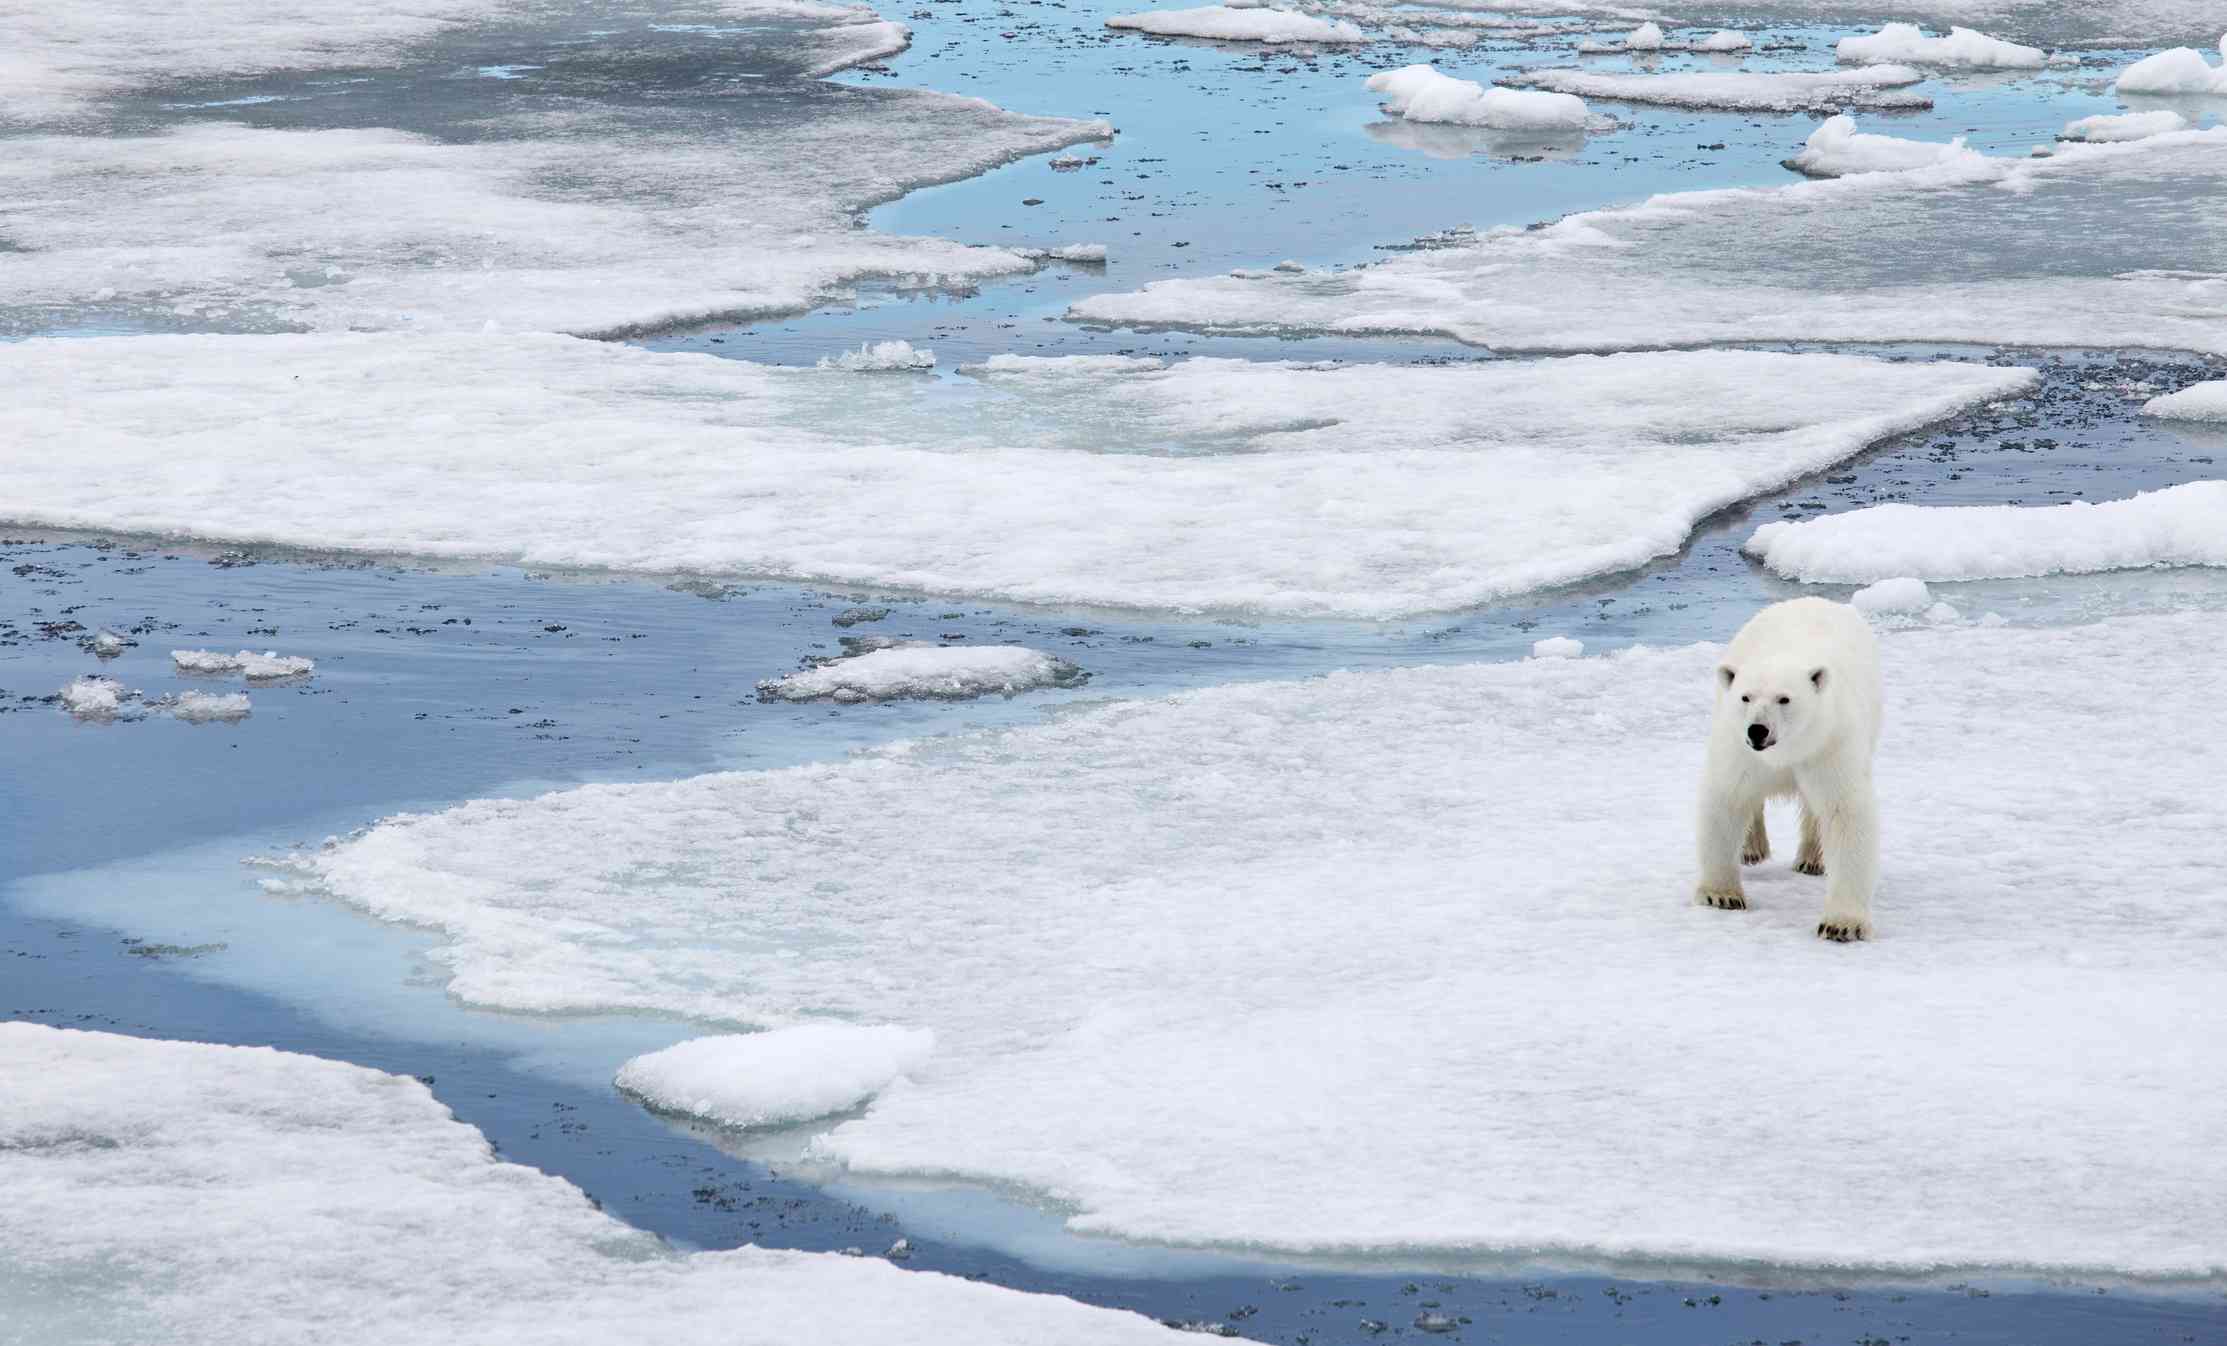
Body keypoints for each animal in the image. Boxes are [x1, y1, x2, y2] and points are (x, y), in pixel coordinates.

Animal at [1692, 592, 1888, 940]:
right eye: (1746, 697)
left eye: (1784, 699)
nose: (1757, 730)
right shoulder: (1739, 749)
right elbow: (1727, 797)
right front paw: (1721, 895)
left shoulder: (1829, 744)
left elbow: (1845, 810)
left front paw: (1842, 924)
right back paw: (1752, 848)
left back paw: (1812, 859)